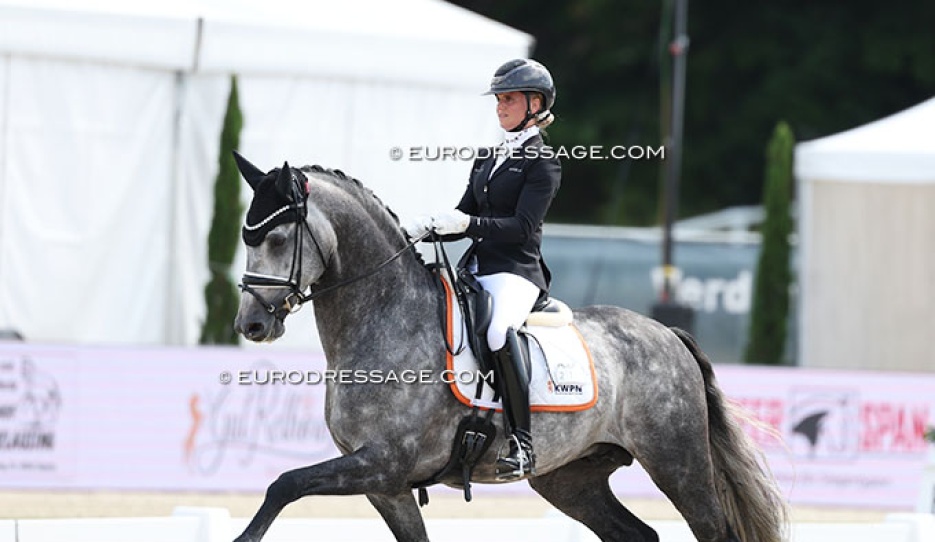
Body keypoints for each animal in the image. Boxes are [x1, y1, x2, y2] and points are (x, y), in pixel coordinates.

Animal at [230, 154, 787, 542]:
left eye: (277, 239)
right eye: (247, 239)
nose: (251, 325)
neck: (385, 318)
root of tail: (667, 334)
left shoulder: (384, 462)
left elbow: (284, 484)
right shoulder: (386, 485)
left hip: (678, 464)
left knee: (713, 531)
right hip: (570, 478)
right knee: (635, 533)